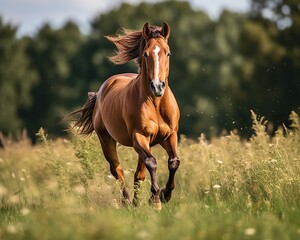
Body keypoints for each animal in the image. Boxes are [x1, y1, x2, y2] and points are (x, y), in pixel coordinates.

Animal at [71, 22, 180, 210]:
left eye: (168, 52)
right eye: (145, 53)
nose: (157, 86)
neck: (156, 104)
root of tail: (101, 91)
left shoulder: (169, 135)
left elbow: (173, 162)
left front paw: (165, 194)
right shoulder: (139, 137)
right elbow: (152, 162)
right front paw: (156, 200)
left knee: (139, 173)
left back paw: (137, 202)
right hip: (106, 139)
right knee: (117, 170)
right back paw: (128, 201)